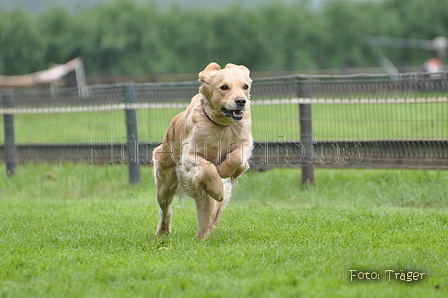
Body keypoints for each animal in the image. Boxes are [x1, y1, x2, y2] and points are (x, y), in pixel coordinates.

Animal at [153, 62, 252, 240]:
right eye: (224, 87)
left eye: (245, 86)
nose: (241, 101)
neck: (221, 126)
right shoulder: (189, 155)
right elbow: (208, 168)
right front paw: (218, 189)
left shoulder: (246, 142)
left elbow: (237, 157)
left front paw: (224, 170)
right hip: (165, 184)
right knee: (166, 209)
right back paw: (164, 231)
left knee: (206, 215)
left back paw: (201, 237)